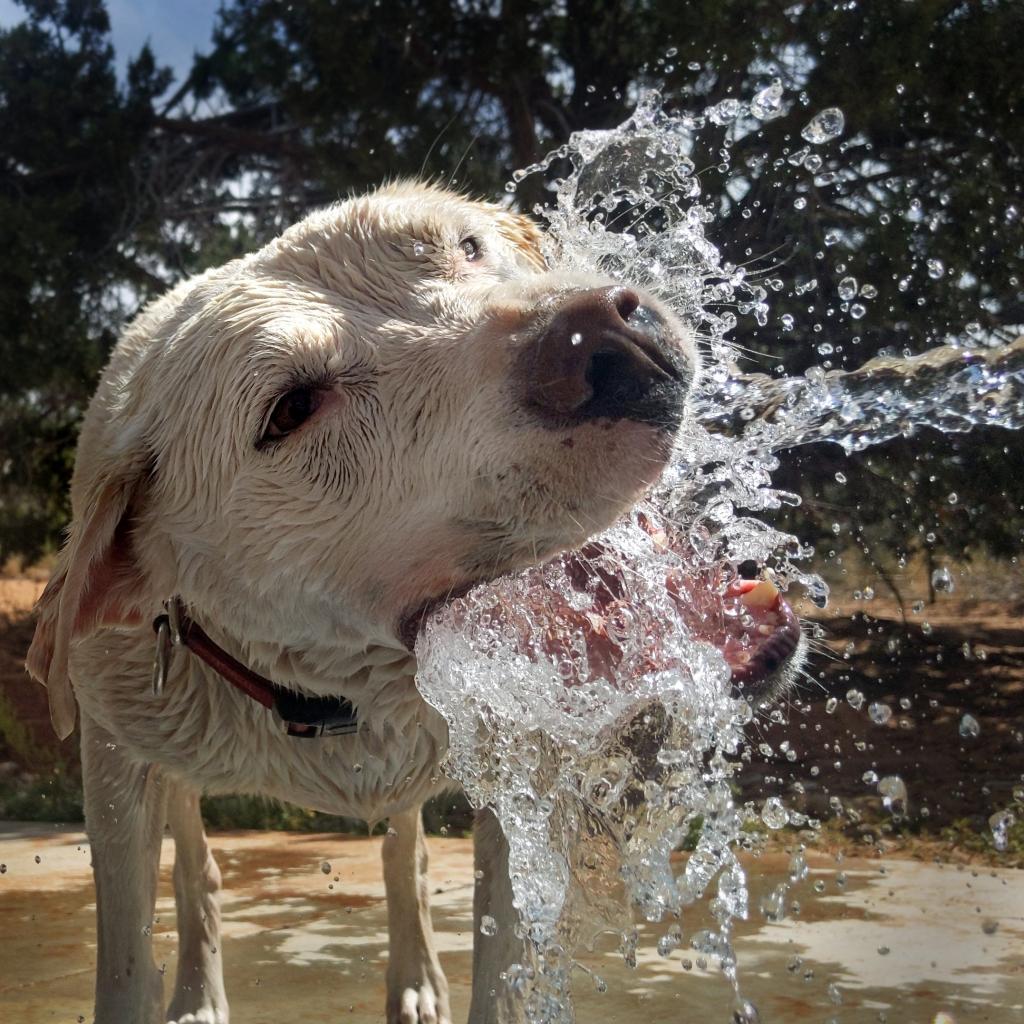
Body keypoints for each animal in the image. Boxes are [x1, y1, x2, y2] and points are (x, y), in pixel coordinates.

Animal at [28, 184, 802, 1024]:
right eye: (291, 409)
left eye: (466, 247)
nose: (608, 334)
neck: (343, 694)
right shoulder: (114, 756)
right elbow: (127, 958)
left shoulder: (521, 770)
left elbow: (503, 965)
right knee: (197, 860)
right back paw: (201, 993)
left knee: (406, 846)